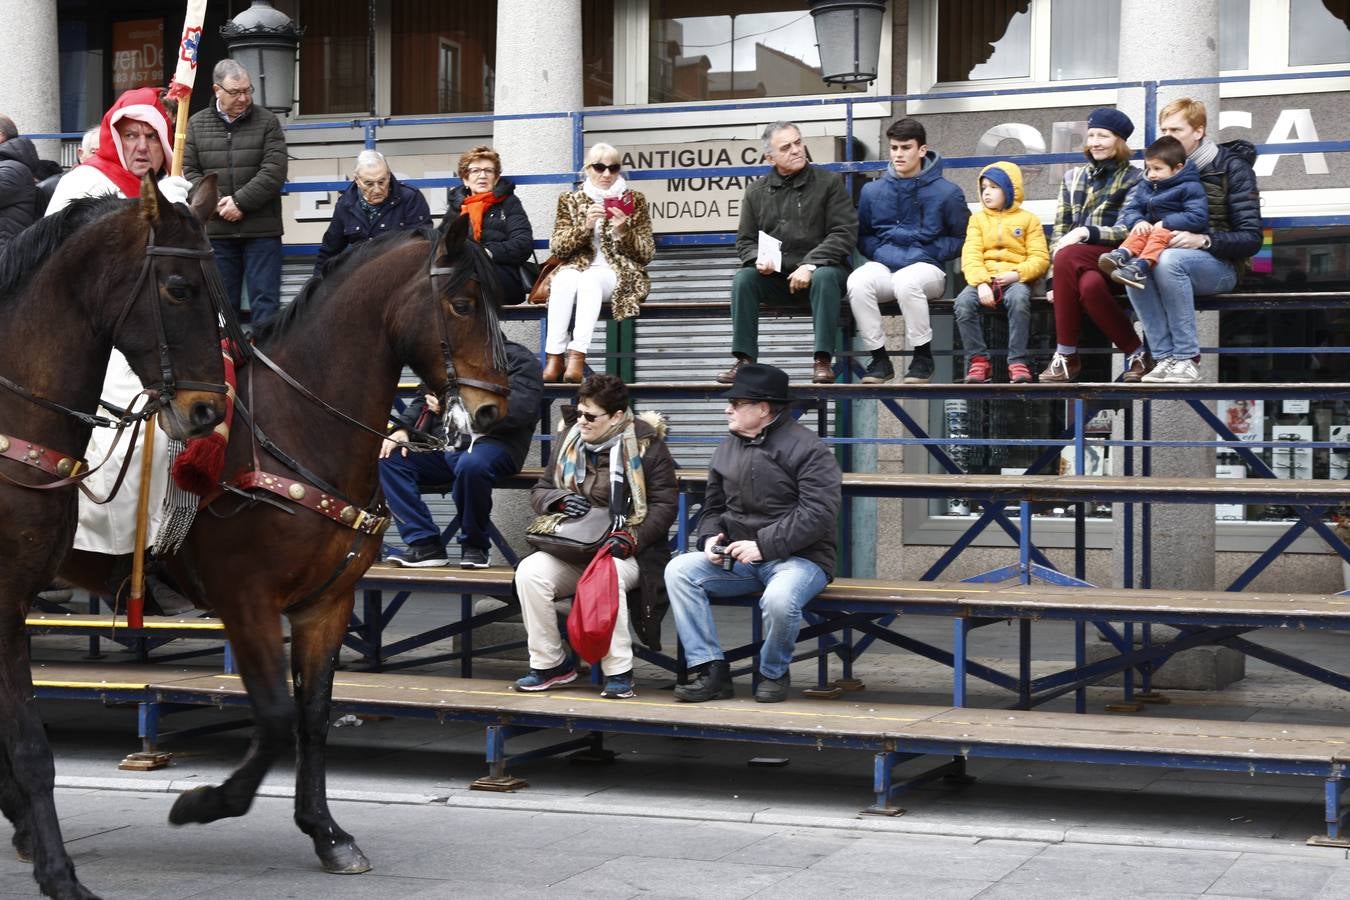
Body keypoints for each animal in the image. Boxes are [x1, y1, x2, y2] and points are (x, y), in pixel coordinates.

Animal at [0, 178, 228, 900]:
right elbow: (29, 746)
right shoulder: (2, 602)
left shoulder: (16, 600)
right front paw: (58, 872)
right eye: (178, 287)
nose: (208, 412)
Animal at [67, 209, 507, 874]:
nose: (491, 414)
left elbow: (313, 717)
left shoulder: (325, 605)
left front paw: (326, 832)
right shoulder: (246, 600)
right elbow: (275, 716)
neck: (294, 429)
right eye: (461, 303)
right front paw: (205, 802)